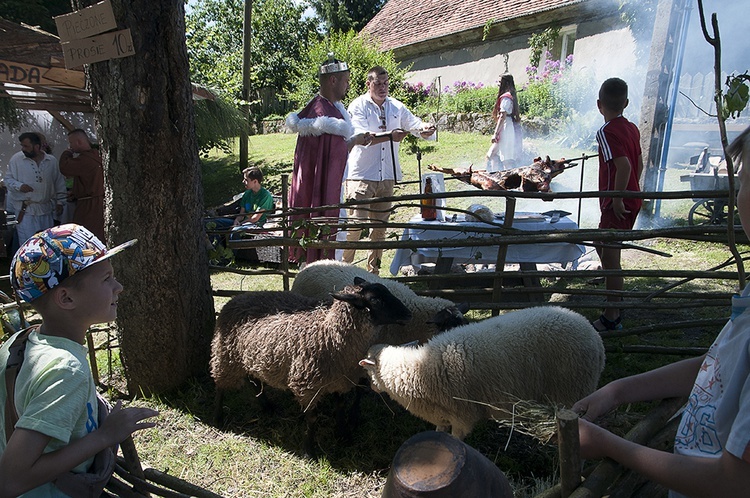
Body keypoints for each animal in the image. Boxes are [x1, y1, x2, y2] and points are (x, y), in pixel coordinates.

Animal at [210, 276, 412, 452]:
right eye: (375, 300)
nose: (408, 314)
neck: (330, 335)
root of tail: (236, 298)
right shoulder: (306, 385)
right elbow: (312, 418)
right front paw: (309, 450)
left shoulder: (340, 380)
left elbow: (340, 408)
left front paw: (343, 434)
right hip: (225, 355)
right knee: (220, 386)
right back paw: (218, 418)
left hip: (250, 356)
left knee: (254, 380)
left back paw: (267, 406)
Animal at [358, 308, 604, 440]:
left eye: (368, 370)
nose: (371, 388)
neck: (421, 368)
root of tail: (593, 335)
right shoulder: (442, 411)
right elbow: (439, 430)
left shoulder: (462, 414)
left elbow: (456, 438)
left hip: (572, 390)